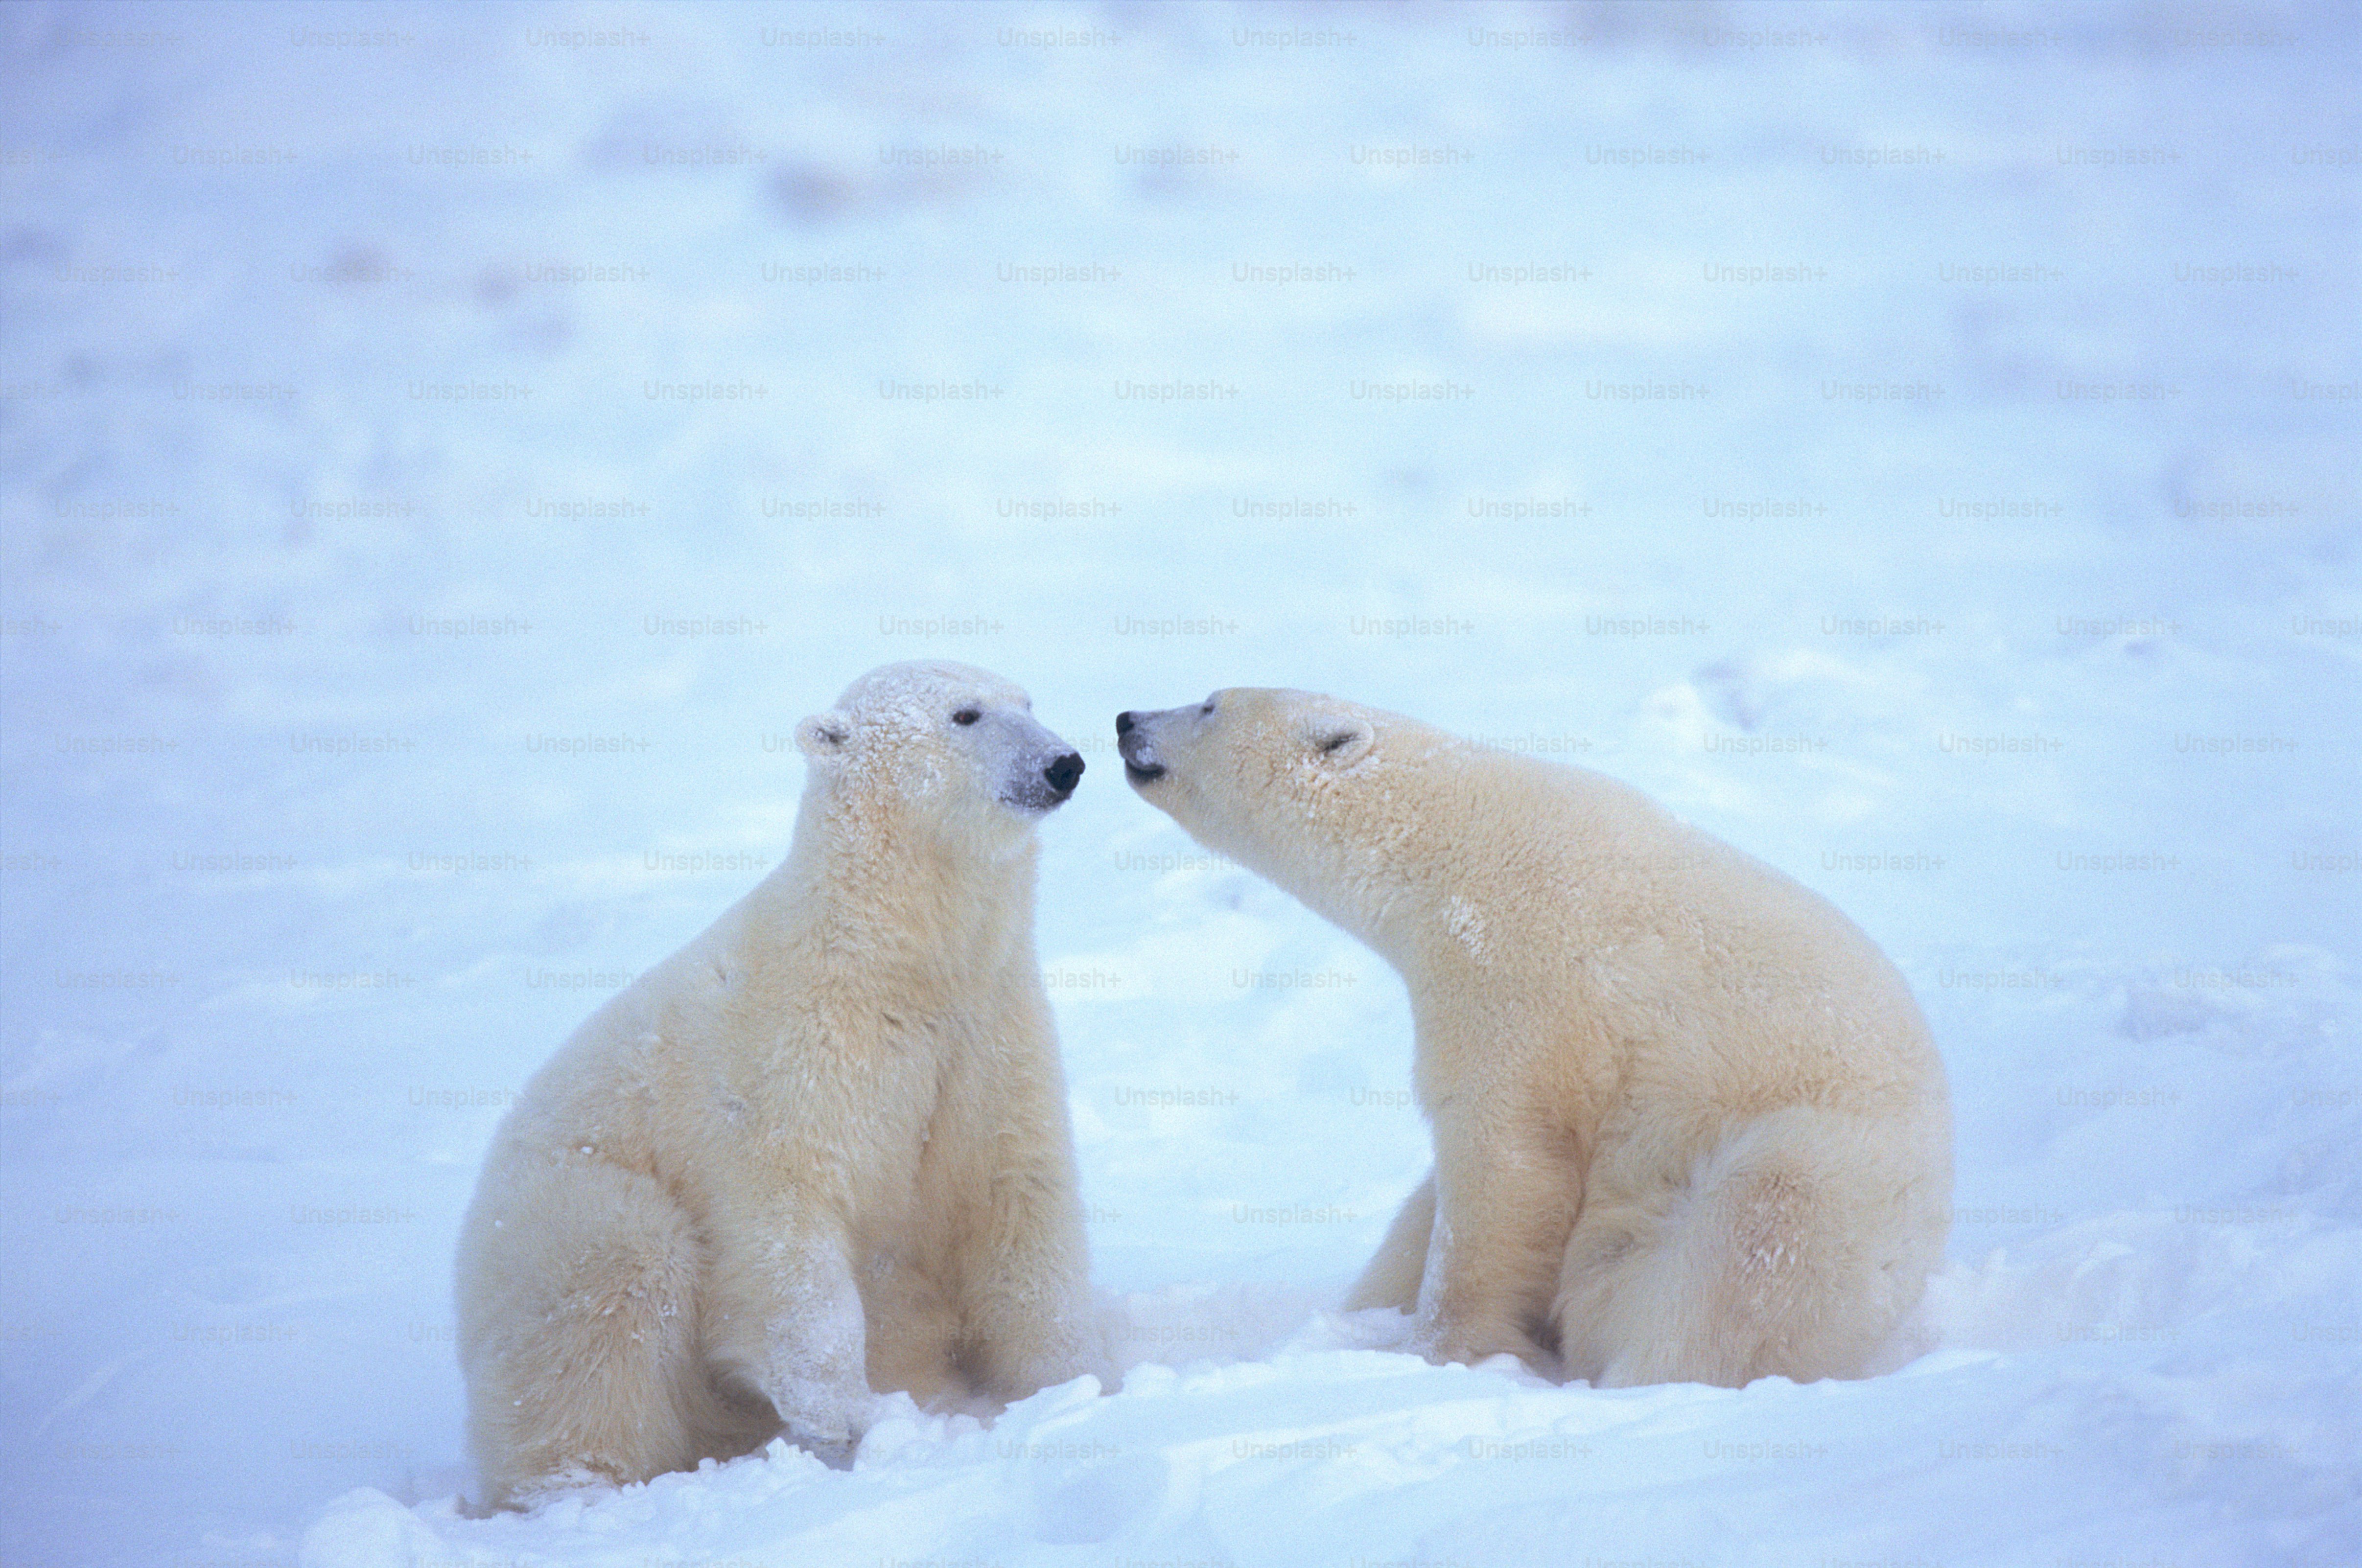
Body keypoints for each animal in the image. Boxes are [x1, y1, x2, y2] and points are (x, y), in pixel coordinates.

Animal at [454, 661, 1102, 1509]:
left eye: (1027, 702)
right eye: (966, 714)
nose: (1064, 763)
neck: (893, 960)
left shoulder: (989, 1036)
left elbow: (1016, 1197)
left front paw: (1065, 1389)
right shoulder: (789, 1060)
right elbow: (788, 1227)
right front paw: (854, 1415)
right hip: (552, 1216)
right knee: (614, 1279)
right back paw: (578, 1486)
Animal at [1115, 687, 1952, 1388]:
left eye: (1210, 703)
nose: (1127, 720)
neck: (1456, 840)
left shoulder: (1517, 979)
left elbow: (1502, 1161)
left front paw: (1446, 1349)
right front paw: (1369, 1324)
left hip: (1827, 1171)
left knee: (1747, 1255)